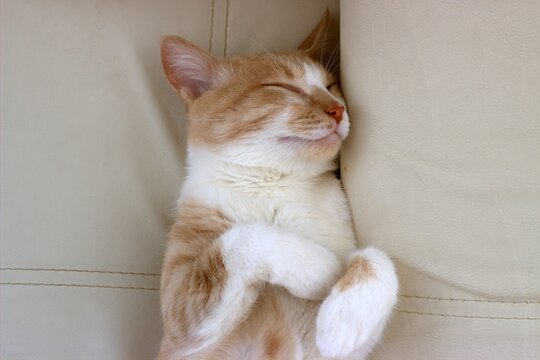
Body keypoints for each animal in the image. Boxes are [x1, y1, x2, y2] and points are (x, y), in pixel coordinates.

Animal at [156, 11, 396, 360]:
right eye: (282, 87)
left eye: (330, 86)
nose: (338, 109)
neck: (277, 185)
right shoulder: (179, 322)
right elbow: (243, 238)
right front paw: (318, 268)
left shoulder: (348, 353)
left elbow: (376, 257)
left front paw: (347, 317)